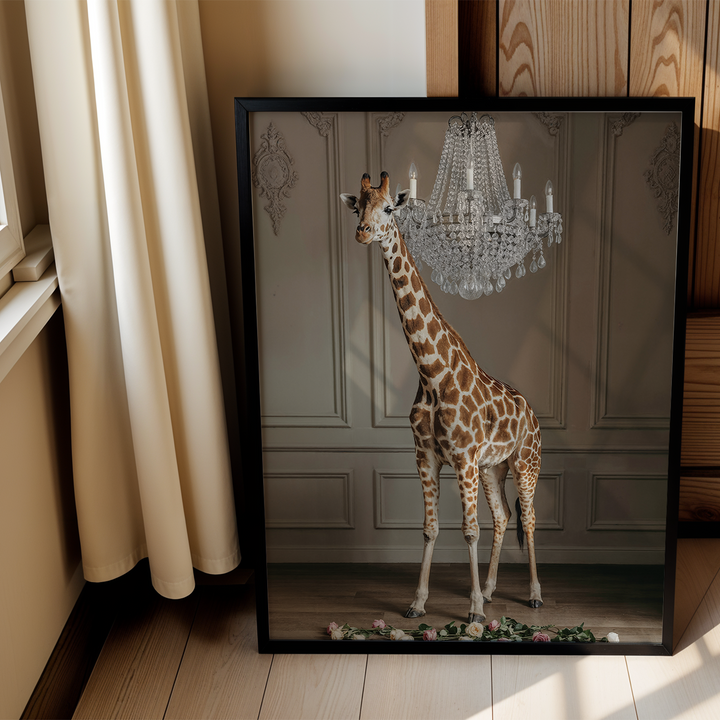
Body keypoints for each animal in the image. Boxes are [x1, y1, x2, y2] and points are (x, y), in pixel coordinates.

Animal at [341, 172, 543, 623]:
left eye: (389, 208)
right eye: (358, 206)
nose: (362, 233)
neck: (431, 373)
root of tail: (533, 412)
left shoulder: (463, 458)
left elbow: (468, 530)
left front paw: (473, 612)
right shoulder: (426, 456)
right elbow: (431, 528)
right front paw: (418, 603)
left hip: (525, 463)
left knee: (529, 518)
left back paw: (534, 594)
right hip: (494, 468)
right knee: (504, 517)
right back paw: (490, 590)